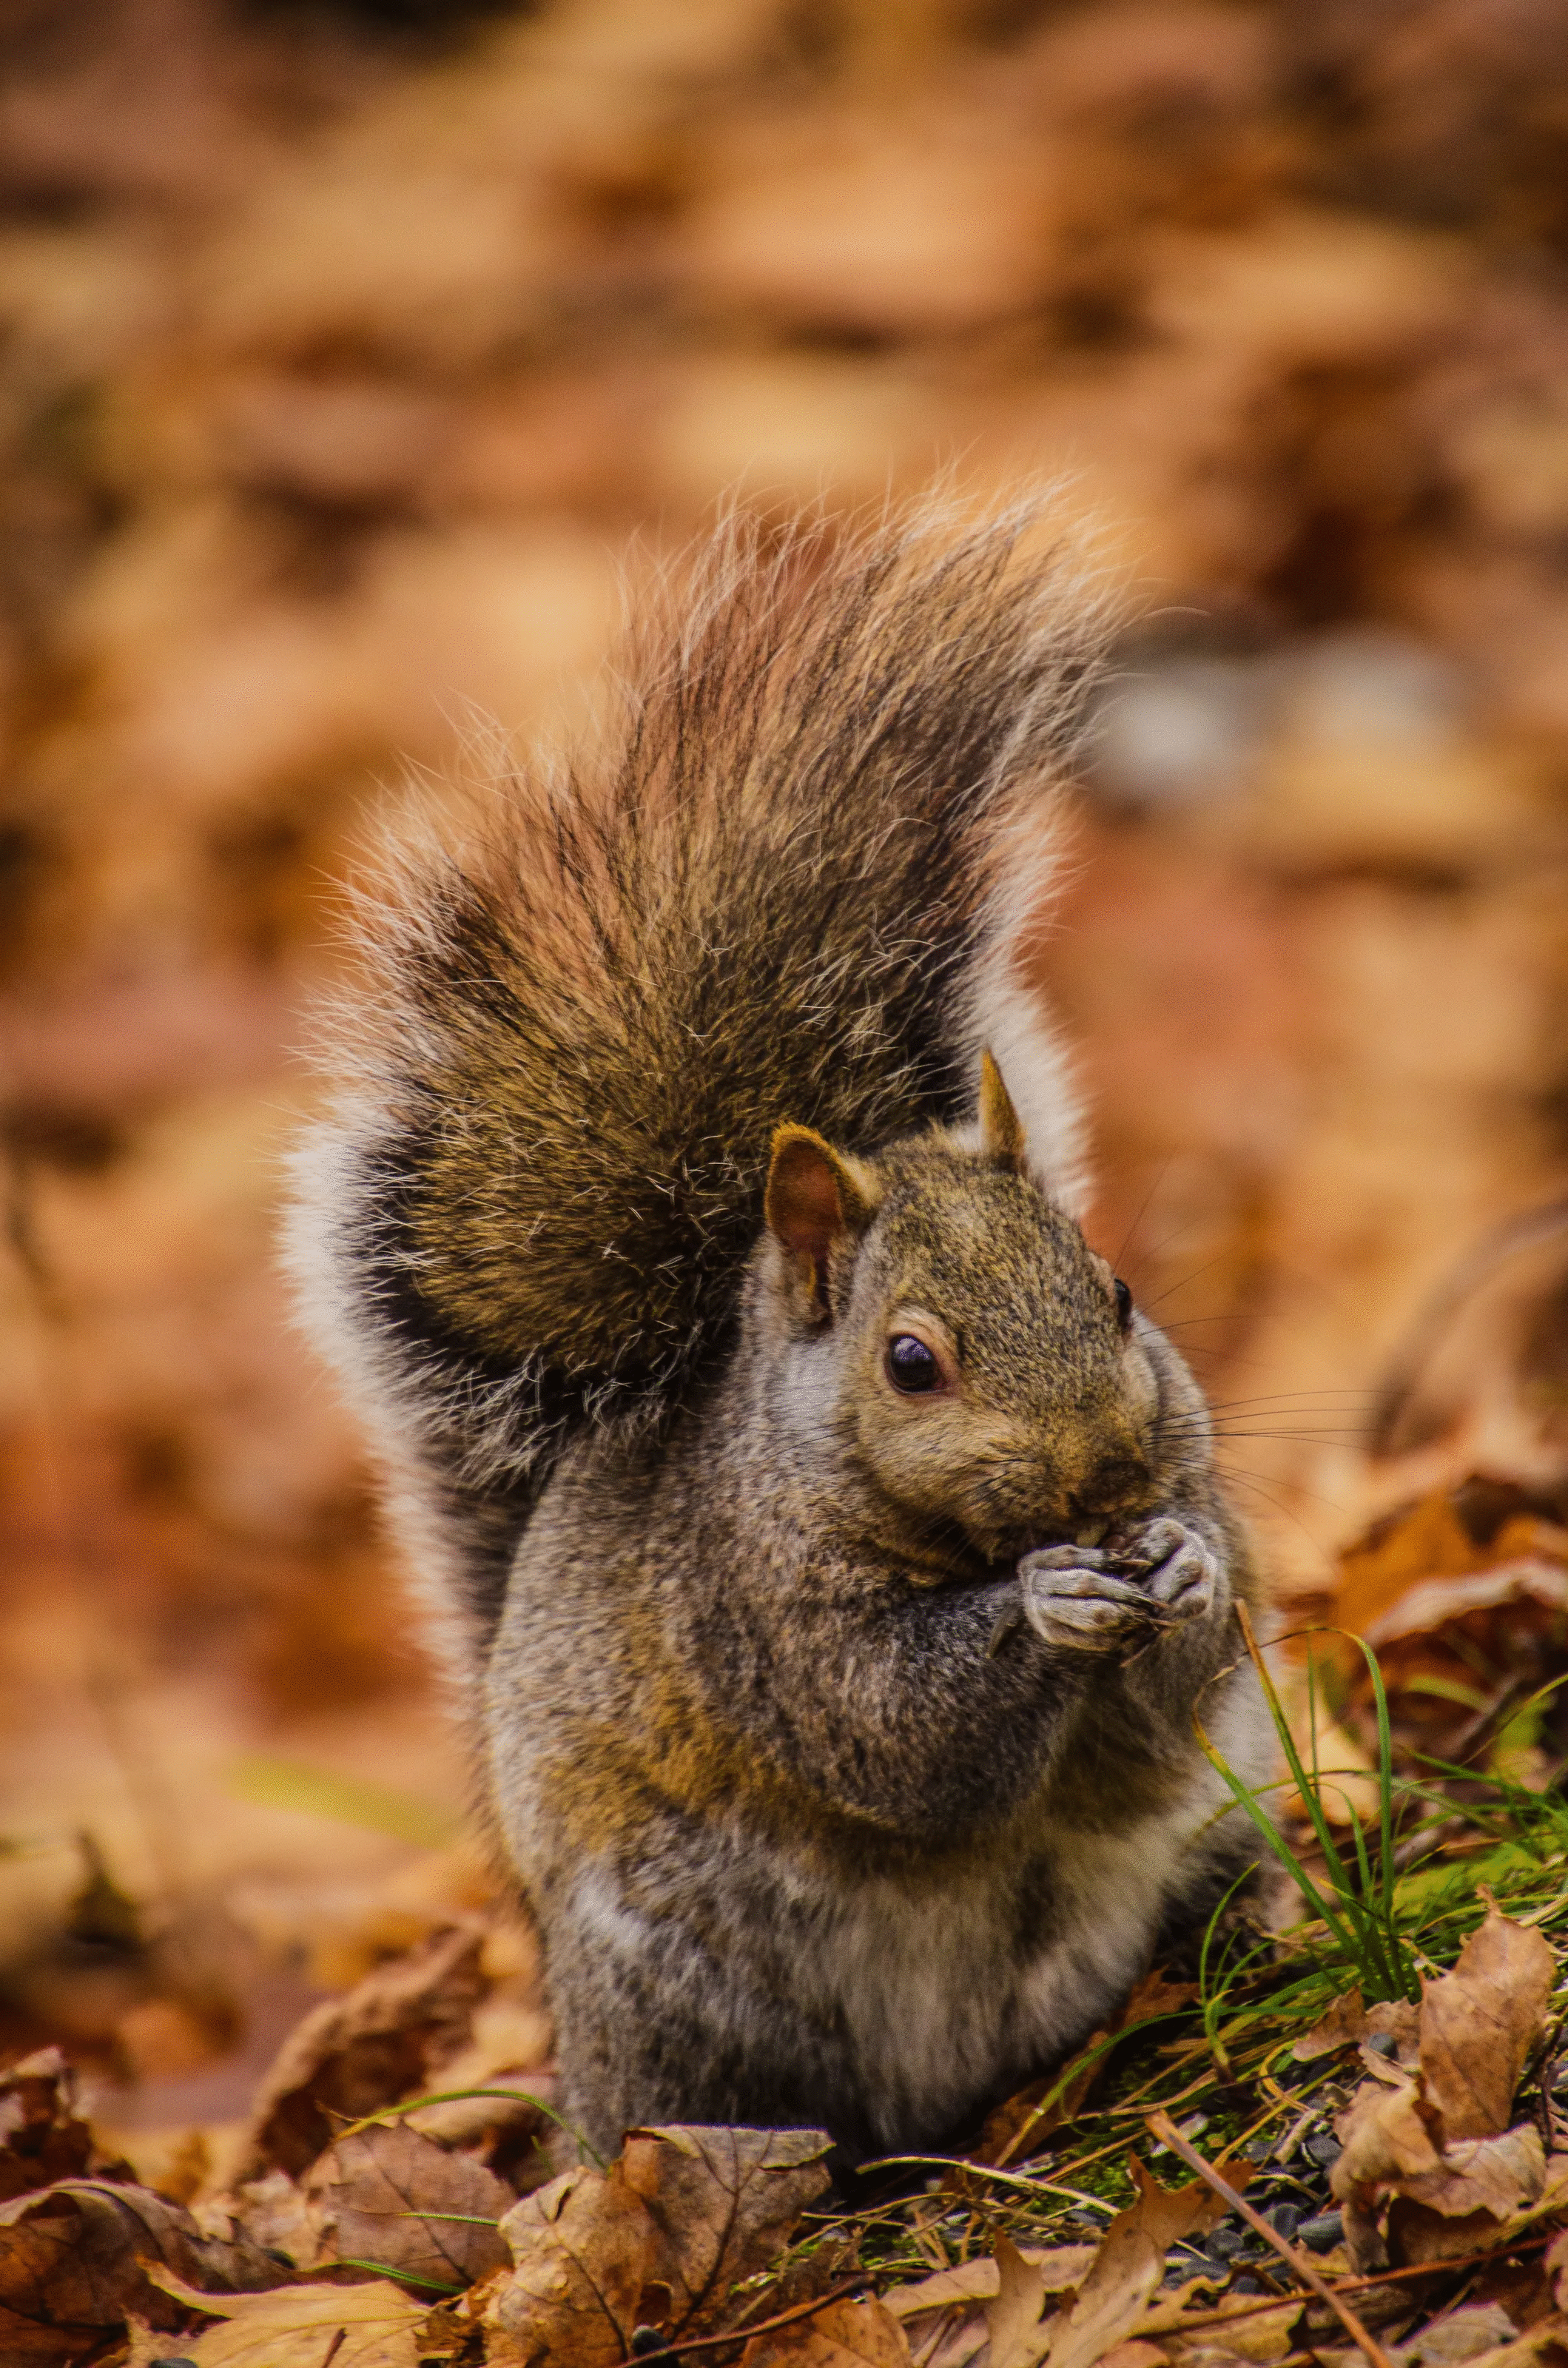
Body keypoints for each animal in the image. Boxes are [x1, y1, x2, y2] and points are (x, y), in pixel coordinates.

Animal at [287, 496, 1271, 2165]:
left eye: (1119, 1294)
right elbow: (889, 1729)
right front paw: (1048, 1601)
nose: (1095, 1479)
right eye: (910, 1362)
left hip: (1187, 1847)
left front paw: (1180, 1566)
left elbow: (1156, 1713)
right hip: (686, 1991)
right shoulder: (751, 1613)